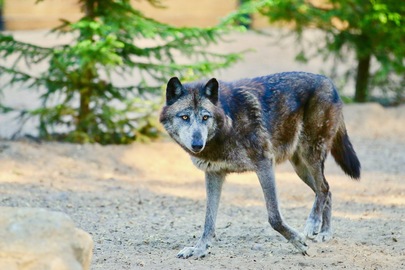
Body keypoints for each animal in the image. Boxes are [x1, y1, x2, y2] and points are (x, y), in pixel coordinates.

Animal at [159, 72, 360, 260]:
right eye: (185, 117)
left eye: (205, 117)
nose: (197, 144)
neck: (228, 123)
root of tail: (329, 82)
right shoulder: (214, 174)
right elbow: (209, 221)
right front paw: (199, 249)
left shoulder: (264, 165)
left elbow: (274, 217)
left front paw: (298, 241)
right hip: (300, 167)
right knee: (327, 190)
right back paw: (325, 232)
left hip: (310, 155)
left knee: (323, 188)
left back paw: (313, 224)